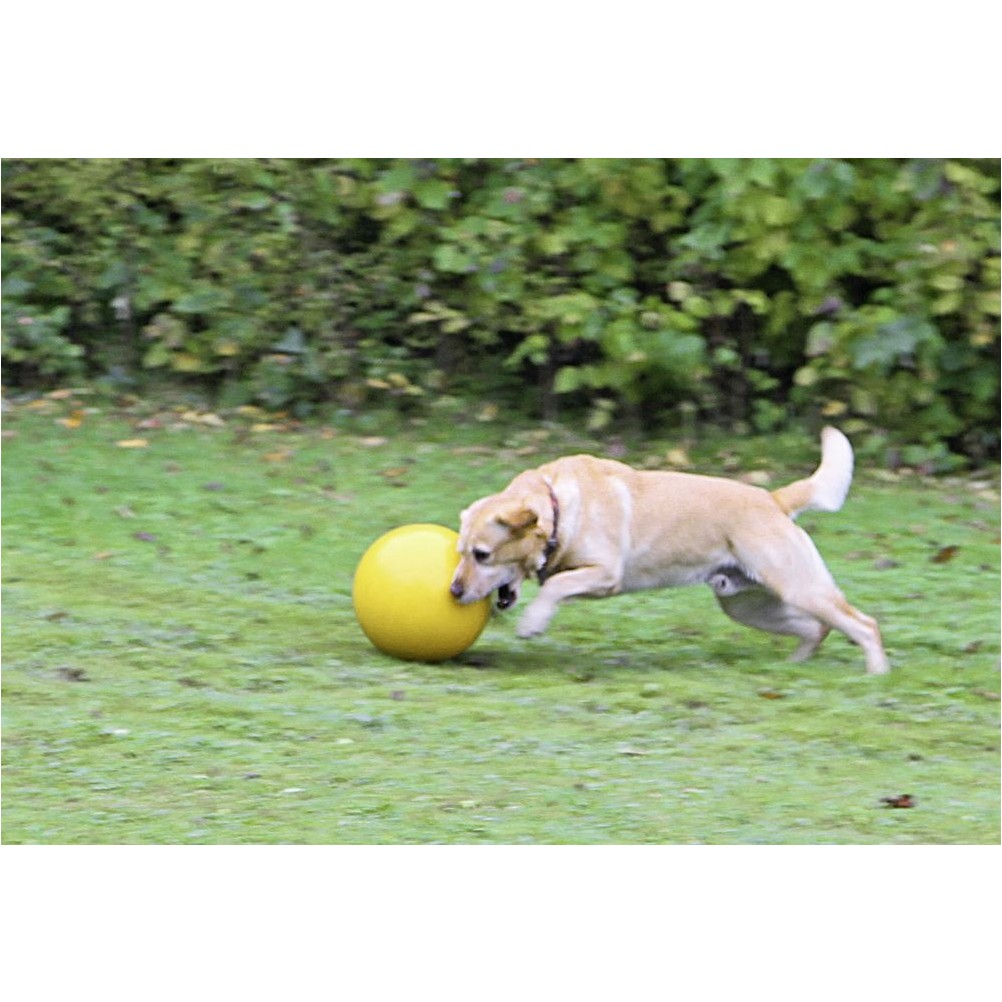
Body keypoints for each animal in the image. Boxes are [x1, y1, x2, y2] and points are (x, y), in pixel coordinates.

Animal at [450, 428, 889, 673]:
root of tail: (773, 498)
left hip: (800, 588)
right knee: (819, 628)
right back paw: (793, 667)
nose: (453, 592)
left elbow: (555, 587)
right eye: (461, 551)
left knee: (864, 624)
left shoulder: (604, 574)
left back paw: (877, 672)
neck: (560, 507)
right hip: (745, 604)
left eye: (482, 554)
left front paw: (533, 623)